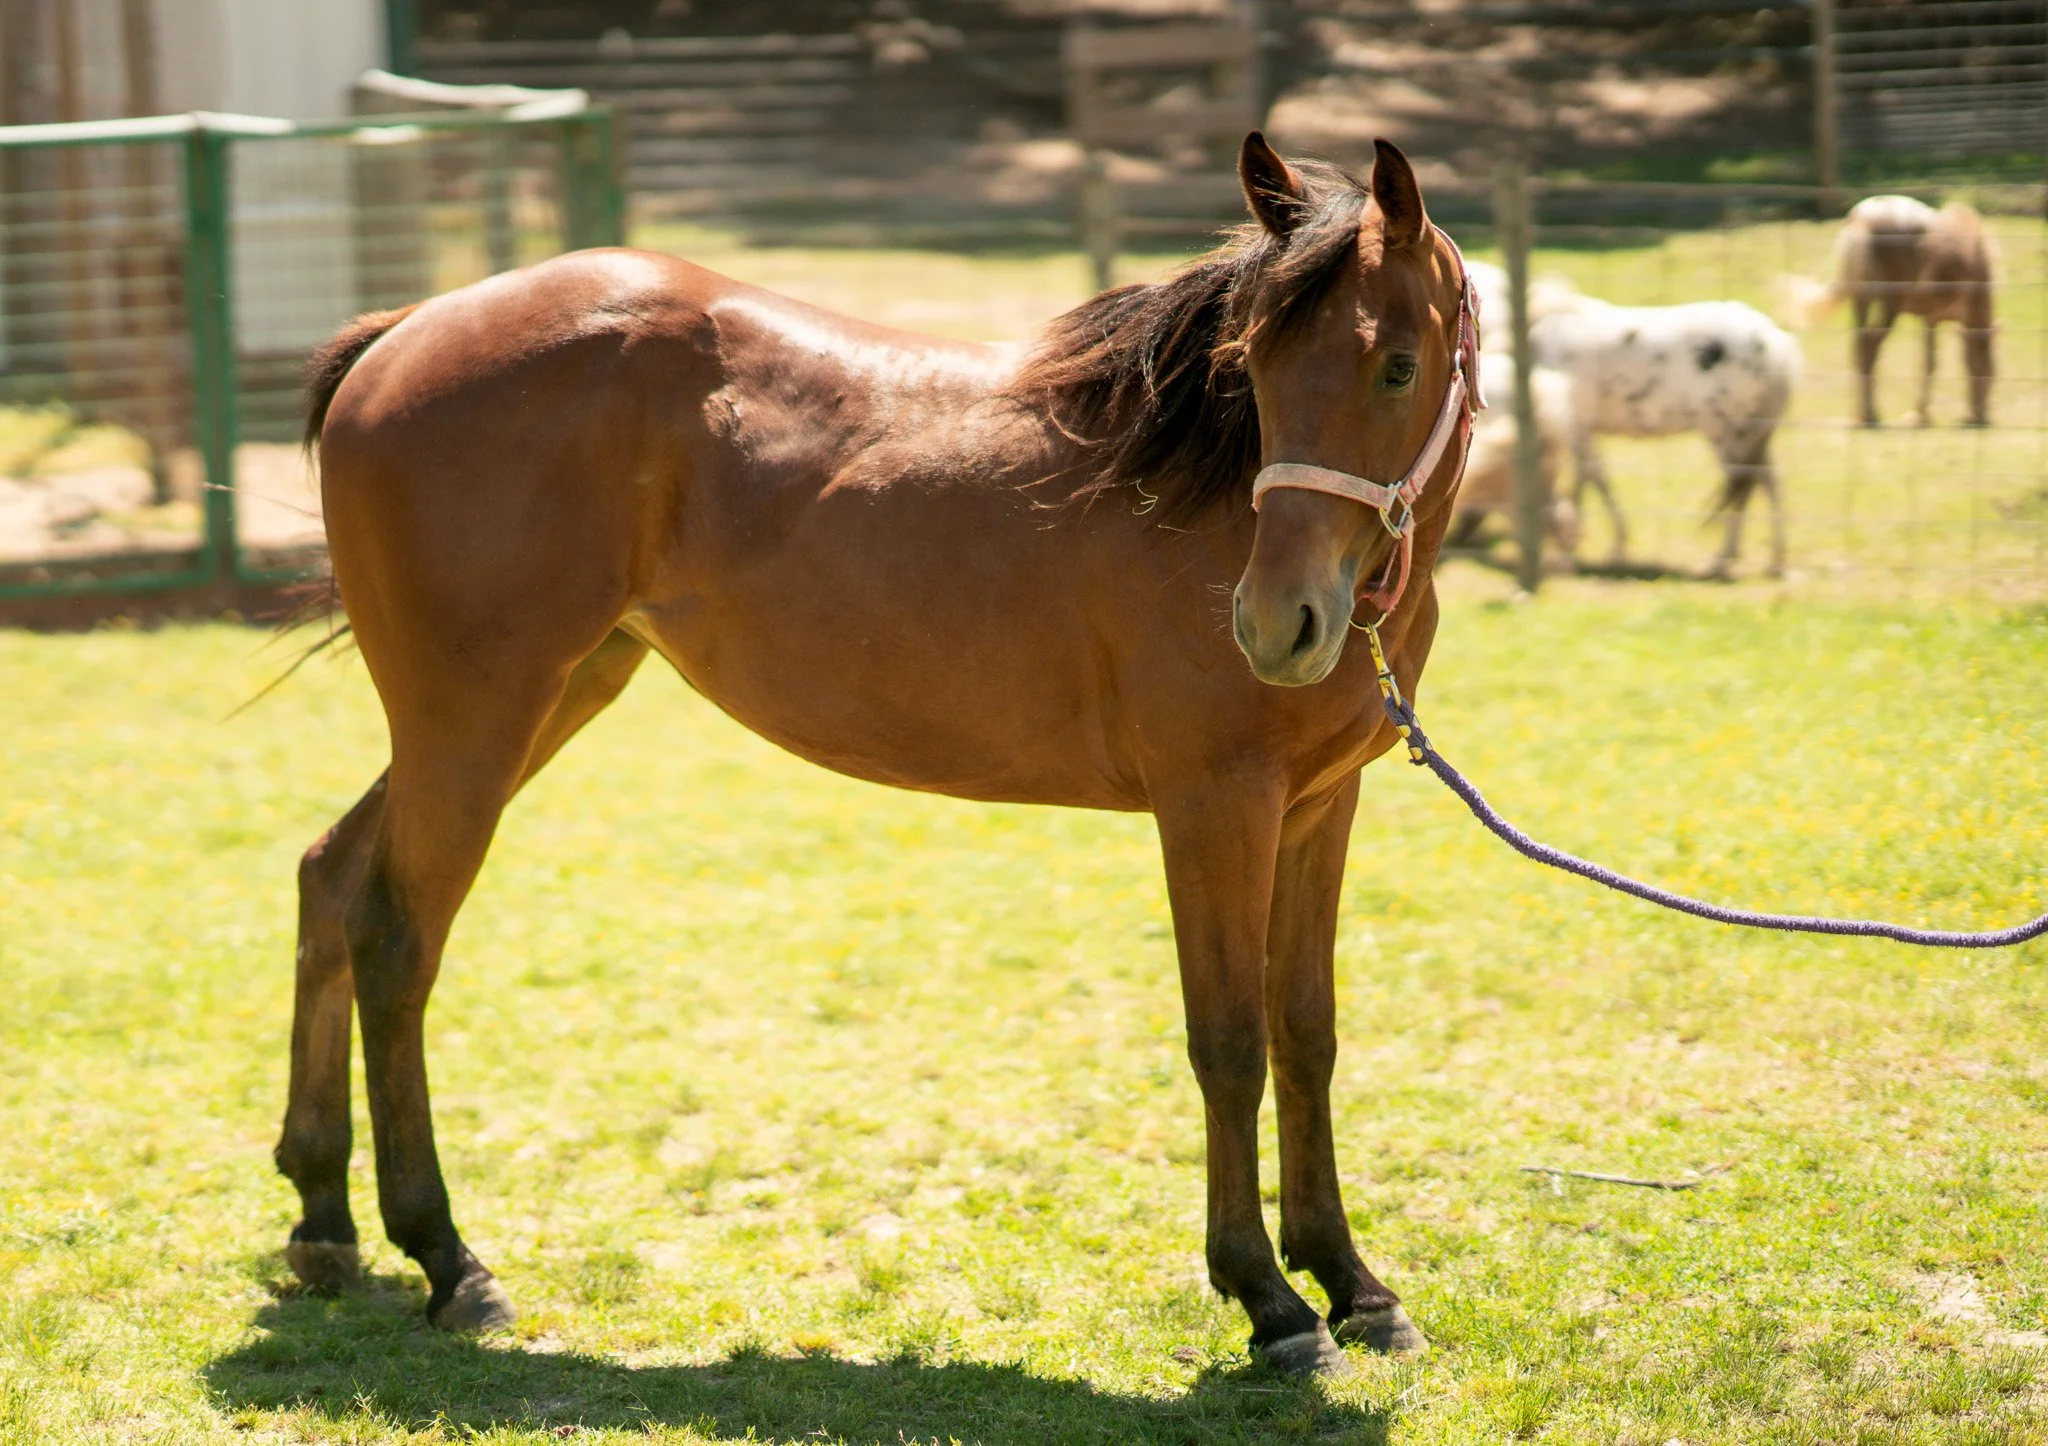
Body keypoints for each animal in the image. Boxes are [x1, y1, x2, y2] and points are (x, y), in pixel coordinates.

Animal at [276, 132, 1478, 1377]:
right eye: (1252, 368)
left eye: (1396, 368)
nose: (1277, 622)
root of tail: (407, 332)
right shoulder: (1214, 808)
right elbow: (1228, 1042)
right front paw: (1271, 1303)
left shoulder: (1315, 808)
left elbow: (1305, 1034)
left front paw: (1352, 1283)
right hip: (472, 719)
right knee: (395, 935)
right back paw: (447, 1259)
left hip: (533, 704)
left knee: (330, 878)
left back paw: (324, 1221)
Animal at [1808, 195, 1995, 428]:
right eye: (1987, 372)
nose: (1981, 418)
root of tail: (1862, 219)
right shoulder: (1939, 317)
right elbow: (1931, 364)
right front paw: (1921, 416)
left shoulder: (1930, 319)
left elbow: (1929, 363)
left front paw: (1922, 415)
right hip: (1889, 306)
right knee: (1869, 348)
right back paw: (1870, 415)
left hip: (1861, 300)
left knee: (1857, 348)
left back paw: (1858, 415)